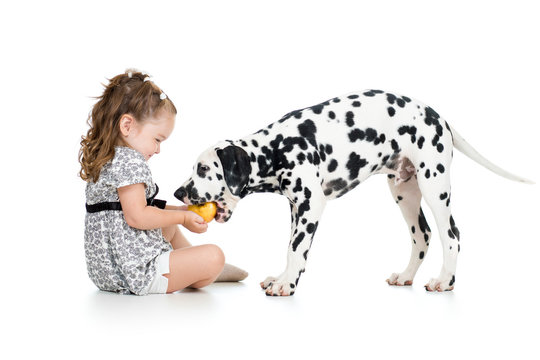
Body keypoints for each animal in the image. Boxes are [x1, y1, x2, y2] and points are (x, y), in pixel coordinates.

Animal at [174, 90, 532, 296]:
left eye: (202, 169)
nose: (179, 192)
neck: (277, 147)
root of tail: (437, 115)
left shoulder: (310, 206)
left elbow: (295, 249)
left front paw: (287, 284)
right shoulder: (296, 208)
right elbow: (291, 248)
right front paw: (284, 276)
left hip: (434, 187)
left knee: (451, 236)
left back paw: (445, 281)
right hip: (405, 193)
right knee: (423, 236)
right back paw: (406, 276)